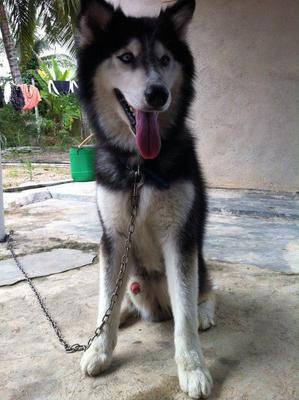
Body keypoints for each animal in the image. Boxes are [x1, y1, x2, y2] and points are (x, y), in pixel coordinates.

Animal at [77, 0, 216, 396]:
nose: (158, 94)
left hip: (198, 263)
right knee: (120, 294)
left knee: (203, 291)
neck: (140, 167)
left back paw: (204, 312)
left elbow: (184, 315)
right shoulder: (112, 237)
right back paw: (124, 312)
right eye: (126, 57)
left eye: (165, 59)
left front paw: (193, 368)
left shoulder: (180, 237)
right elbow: (106, 299)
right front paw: (100, 349)